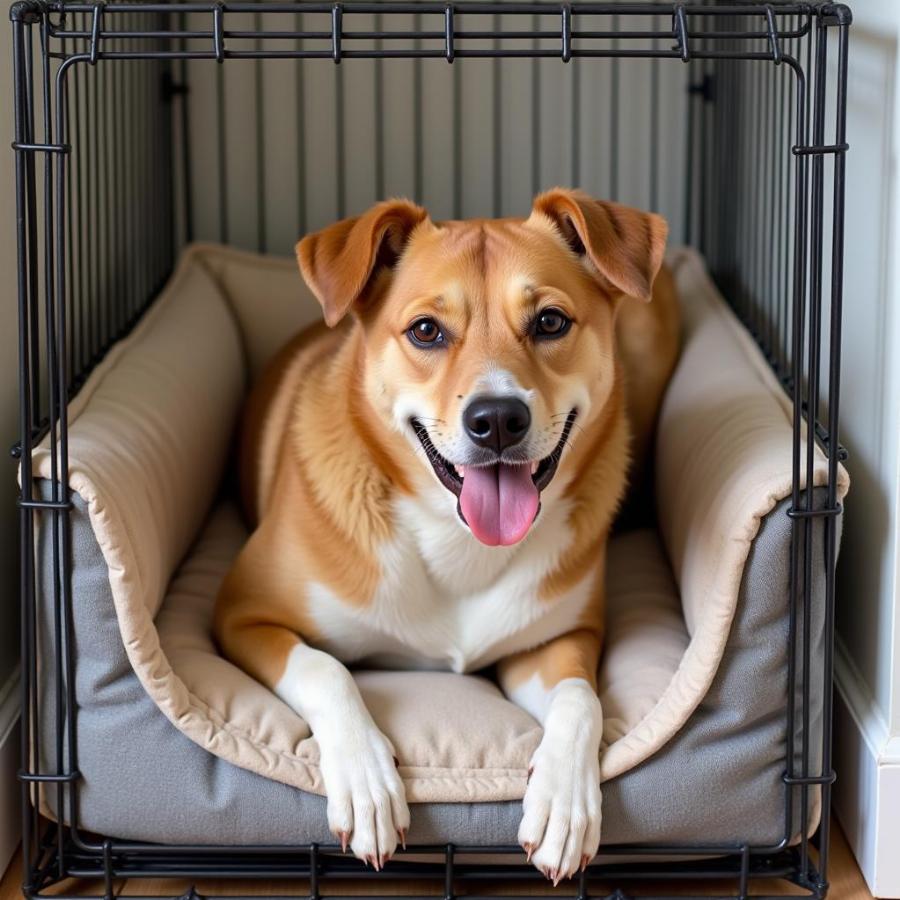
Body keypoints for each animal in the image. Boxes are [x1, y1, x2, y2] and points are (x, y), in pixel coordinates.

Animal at [214, 186, 680, 884]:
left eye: (550, 322)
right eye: (426, 331)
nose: (498, 419)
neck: (458, 541)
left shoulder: (555, 640)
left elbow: (582, 699)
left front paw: (564, 802)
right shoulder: (241, 614)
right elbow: (325, 668)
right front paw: (366, 780)